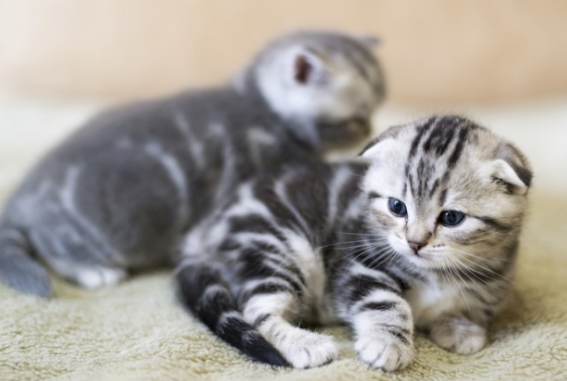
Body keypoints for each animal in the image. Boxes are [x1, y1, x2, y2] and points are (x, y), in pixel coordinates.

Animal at [0, 30, 386, 296]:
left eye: (374, 111)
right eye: (357, 118)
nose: (370, 129)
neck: (261, 104)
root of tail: (23, 194)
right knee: (53, 244)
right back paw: (91, 270)